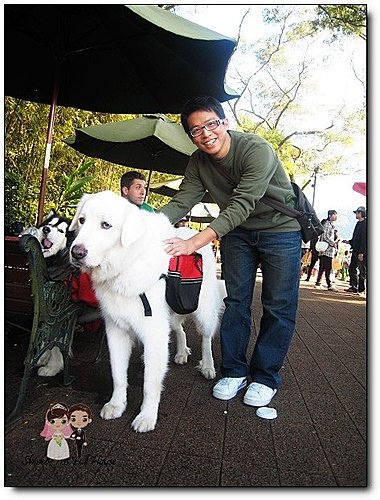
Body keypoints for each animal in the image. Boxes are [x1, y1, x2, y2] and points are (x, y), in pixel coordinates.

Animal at [69, 191, 224, 434]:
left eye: (106, 225)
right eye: (82, 220)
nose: (76, 253)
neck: (127, 264)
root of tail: (192, 233)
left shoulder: (154, 333)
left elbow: (150, 383)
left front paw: (147, 416)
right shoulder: (116, 331)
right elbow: (118, 374)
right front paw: (117, 404)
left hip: (203, 311)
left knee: (206, 338)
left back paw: (207, 366)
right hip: (171, 316)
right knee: (180, 330)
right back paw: (181, 353)